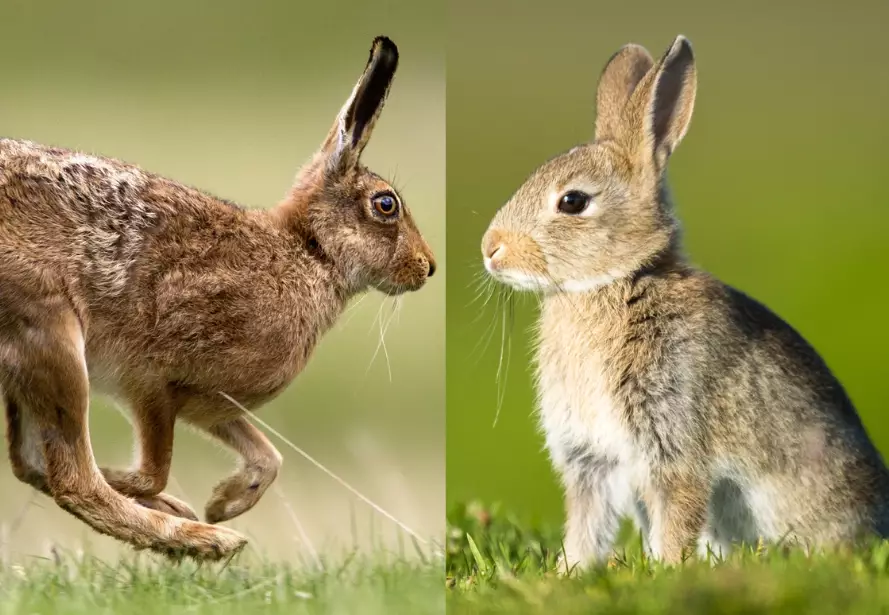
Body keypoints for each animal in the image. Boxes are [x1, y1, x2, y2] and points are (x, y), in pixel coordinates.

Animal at [0, 35, 435, 561]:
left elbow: (269, 456)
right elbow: (151, 471)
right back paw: (207, 540)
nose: (428, 267)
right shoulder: (155, 382)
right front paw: (195, 507)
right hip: (52, 336)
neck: (310, 251)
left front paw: (223, 502)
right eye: (385, 204)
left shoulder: (209, 404)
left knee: (28, 461)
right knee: (71, 479)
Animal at [480, 35, 889, 567]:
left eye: (573, 201)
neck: (618, 282)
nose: (490, 249)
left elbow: (677, 512)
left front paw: (667, 568)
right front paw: (572, 572)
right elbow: (587, 524)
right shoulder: (591, 459)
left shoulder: (673, 440)